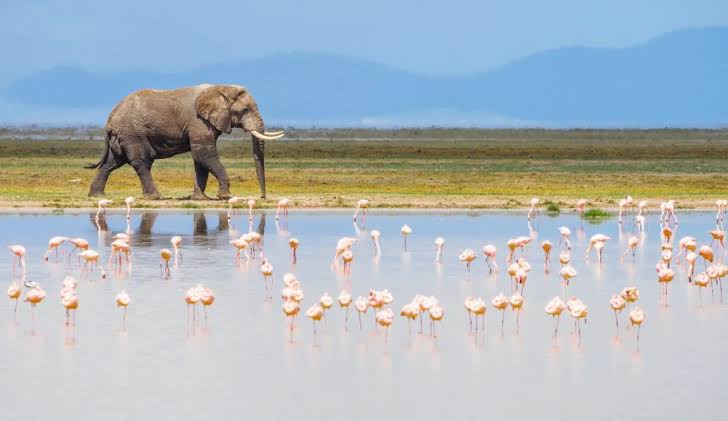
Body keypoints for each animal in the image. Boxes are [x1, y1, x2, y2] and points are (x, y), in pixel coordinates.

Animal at [86, 84, 284, 200]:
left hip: (123, 136)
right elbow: (204, 154)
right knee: (141, 162)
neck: (220, 89)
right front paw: (226, 196)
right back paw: (156, 197)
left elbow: (200, 159)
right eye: (244, 110)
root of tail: (109, 120)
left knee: (111, 163)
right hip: (133, 133)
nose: (263, 198)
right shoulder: (198, 122)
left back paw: (97, 196)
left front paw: (200, 199)